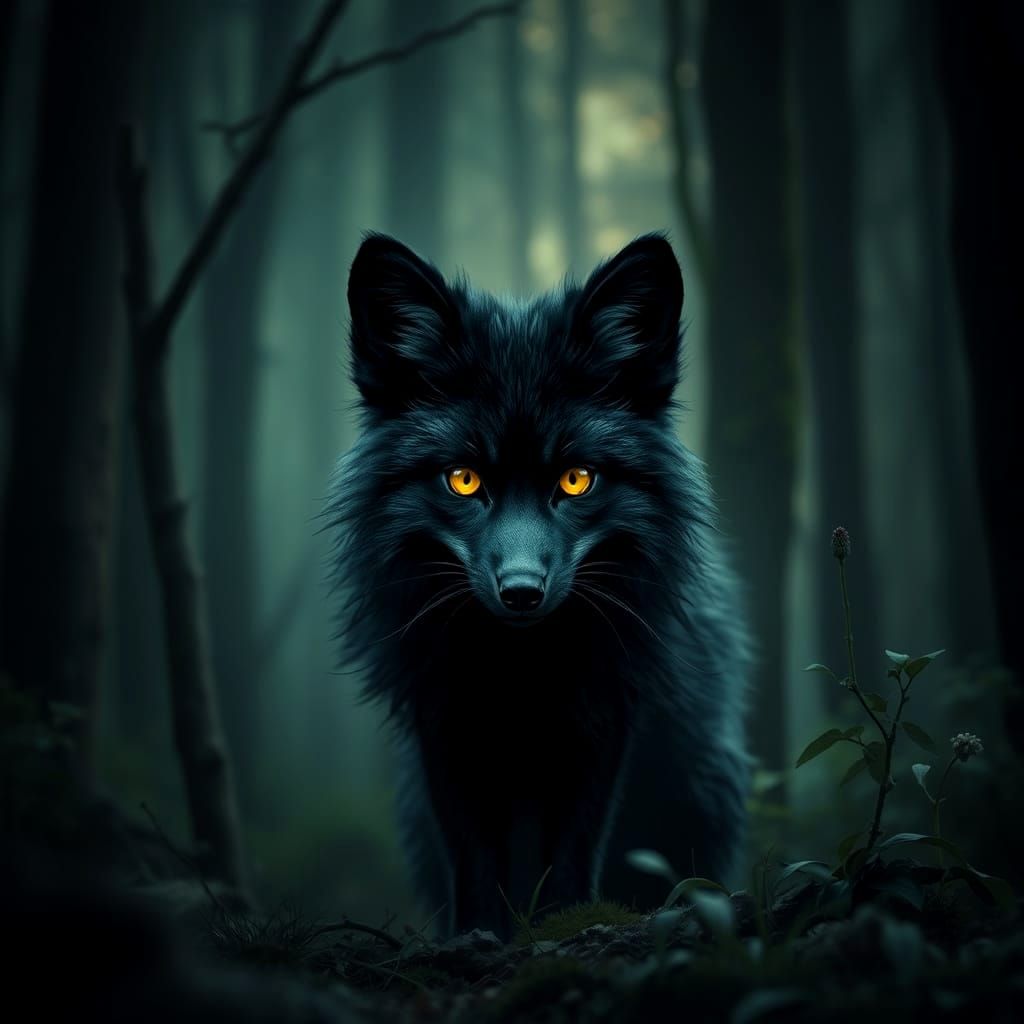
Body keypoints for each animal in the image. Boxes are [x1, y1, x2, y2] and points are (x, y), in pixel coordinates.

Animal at [327, 231, 750, 939]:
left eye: (576, 479)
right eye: (464, 479)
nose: (522, 591)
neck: (521, 674)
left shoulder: (603, 725)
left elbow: (572, 851)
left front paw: (566, 927)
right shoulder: (444, 727)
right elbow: (472, 858)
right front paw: (480, 937)